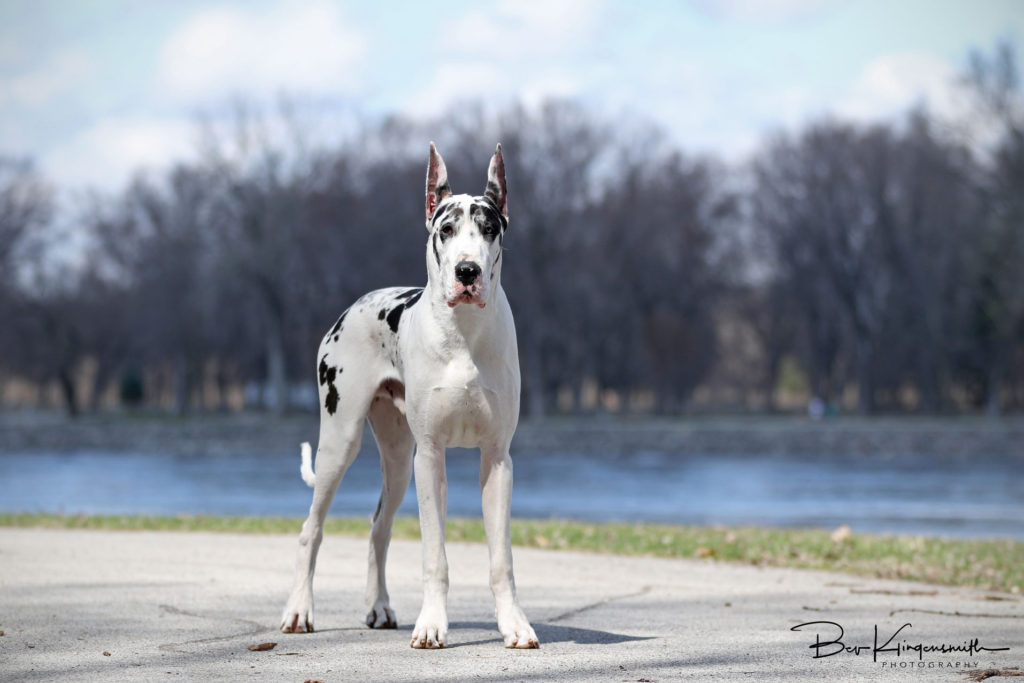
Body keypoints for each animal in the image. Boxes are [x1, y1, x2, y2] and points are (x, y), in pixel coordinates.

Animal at [280, 141, 536, 651]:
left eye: (489, 228)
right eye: (446, 229)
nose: (467, 270)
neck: (464, 334)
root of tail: (351, 308)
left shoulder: (498, 459)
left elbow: (501, 558)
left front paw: (514, 625)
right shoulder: (431, 458)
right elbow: (435, 554)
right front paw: (433, 624)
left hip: (398, 460)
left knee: (378, 527)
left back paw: (378, 607)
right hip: (341, 443)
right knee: (310, 529)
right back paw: (299, 610)